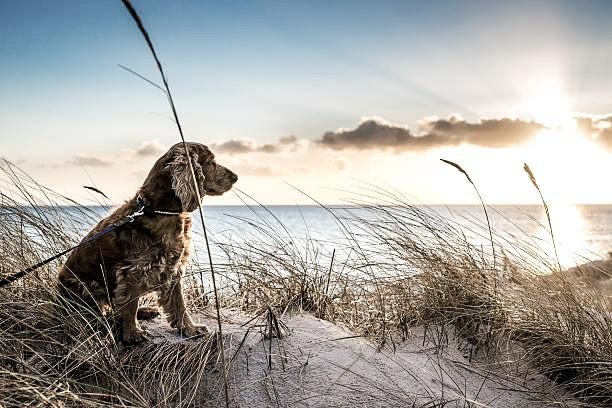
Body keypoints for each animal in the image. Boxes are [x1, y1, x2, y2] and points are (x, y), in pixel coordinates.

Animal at [57, 142, 238, 342]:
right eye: (211, 162)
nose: (236, 177)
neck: (160, 210)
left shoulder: (173, 266)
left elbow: (179, 303)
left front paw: (189, 328)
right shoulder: (134, 270)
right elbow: (130, 303)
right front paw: (133, 333)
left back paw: (145, 311)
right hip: (87, 287)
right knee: (101, 314)